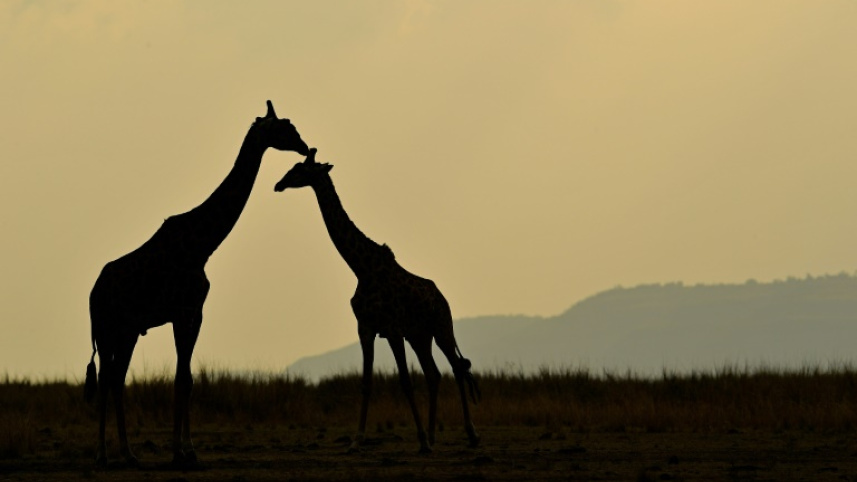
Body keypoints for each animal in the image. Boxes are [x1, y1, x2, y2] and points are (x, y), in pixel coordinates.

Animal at [85, 101, 309, 467]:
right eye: (284, 127)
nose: (304, 147)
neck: (203, 246)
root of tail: (92, 293)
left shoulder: (196, 312)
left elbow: (187, 378)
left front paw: (189, 450)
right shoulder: (180, 311)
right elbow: (178, 378)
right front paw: (178, 451)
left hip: (127, 330)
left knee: (116, 378)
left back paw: (130, 454)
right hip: (106, 328)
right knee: (105, 379)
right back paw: (103, 455)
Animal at [274, 149, 480, 453]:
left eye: (300, 169)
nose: (279, 184)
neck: (361, 267)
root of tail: (443, 299)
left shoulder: (392, 329)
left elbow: (405, 381)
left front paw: (420, 439)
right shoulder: (366, 328)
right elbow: (366, 382)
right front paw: (357, 440)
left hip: (442, 328)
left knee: (455, 368)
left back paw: (470, 434)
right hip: (419, 336)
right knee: (434, 374)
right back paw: (433, 437)